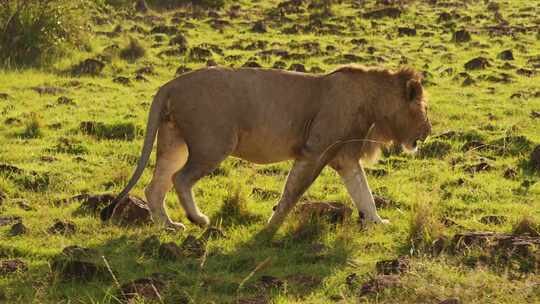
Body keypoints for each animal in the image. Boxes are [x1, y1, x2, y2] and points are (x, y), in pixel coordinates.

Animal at [100, 65, 430, 234]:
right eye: (425, 109)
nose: (428, 132)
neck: (375, 105)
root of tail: (169, 84)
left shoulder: (346, 157)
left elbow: (364, 192)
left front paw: (377, 222)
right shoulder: (315, 151)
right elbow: (292, 192)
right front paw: (271, 226)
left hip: (174, 143)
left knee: (155, 186)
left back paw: (168, 226)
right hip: (213, 143)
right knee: (180, 179)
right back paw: (199, 220)